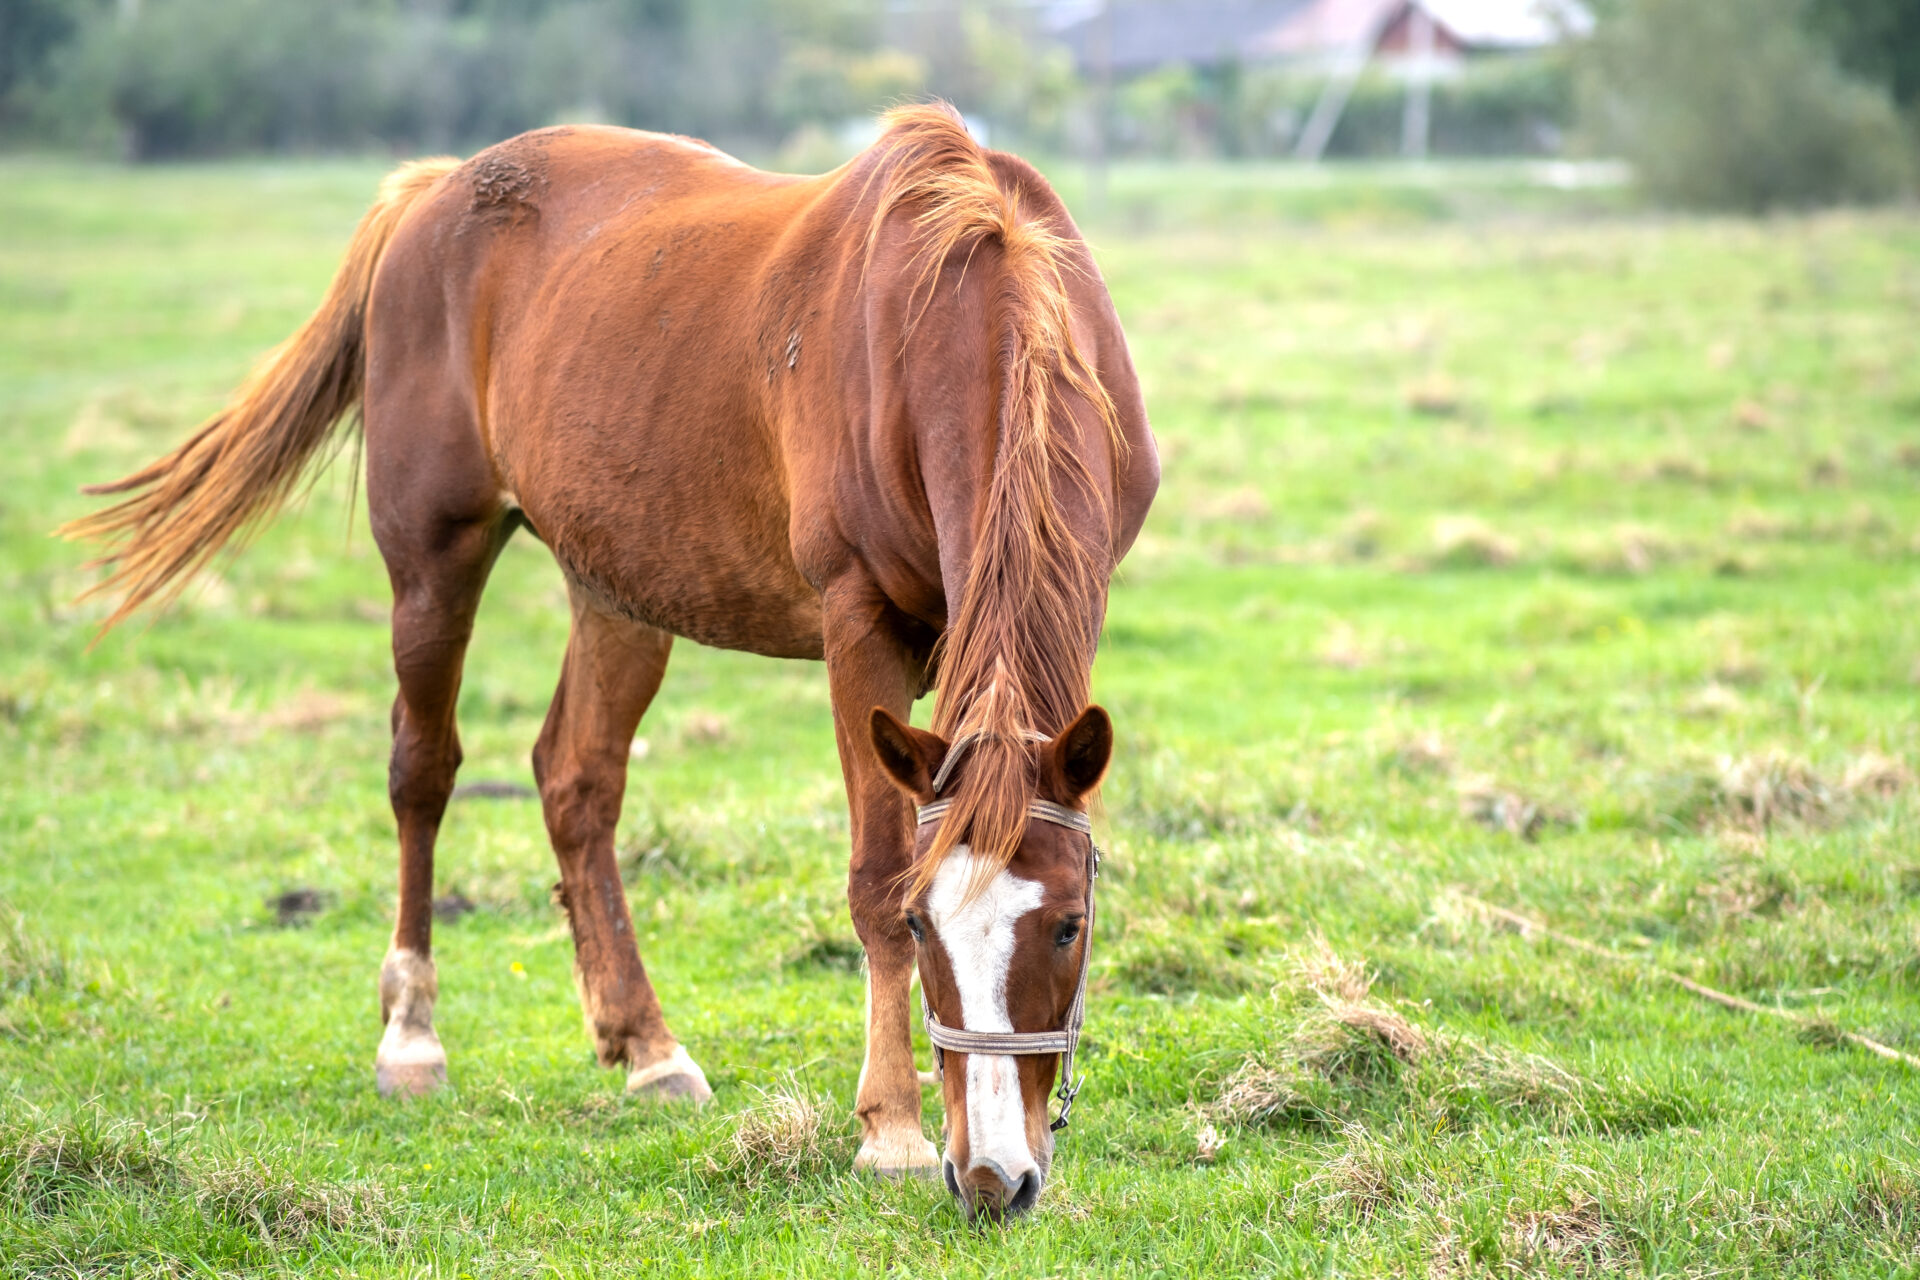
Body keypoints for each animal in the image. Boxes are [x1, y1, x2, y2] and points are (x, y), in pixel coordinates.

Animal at [63, 105, 1152, 1220]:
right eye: (925, 927)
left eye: (1069, 925)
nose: (992, 1177)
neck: (965, 312)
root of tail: (431, 194)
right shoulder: (858, 623)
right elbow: (873, 867)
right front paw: (888, 1126)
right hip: (433, 563)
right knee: (423, 771)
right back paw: (412, 1033)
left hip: (616, 592)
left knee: (575, 779)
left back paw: (647, 1046)